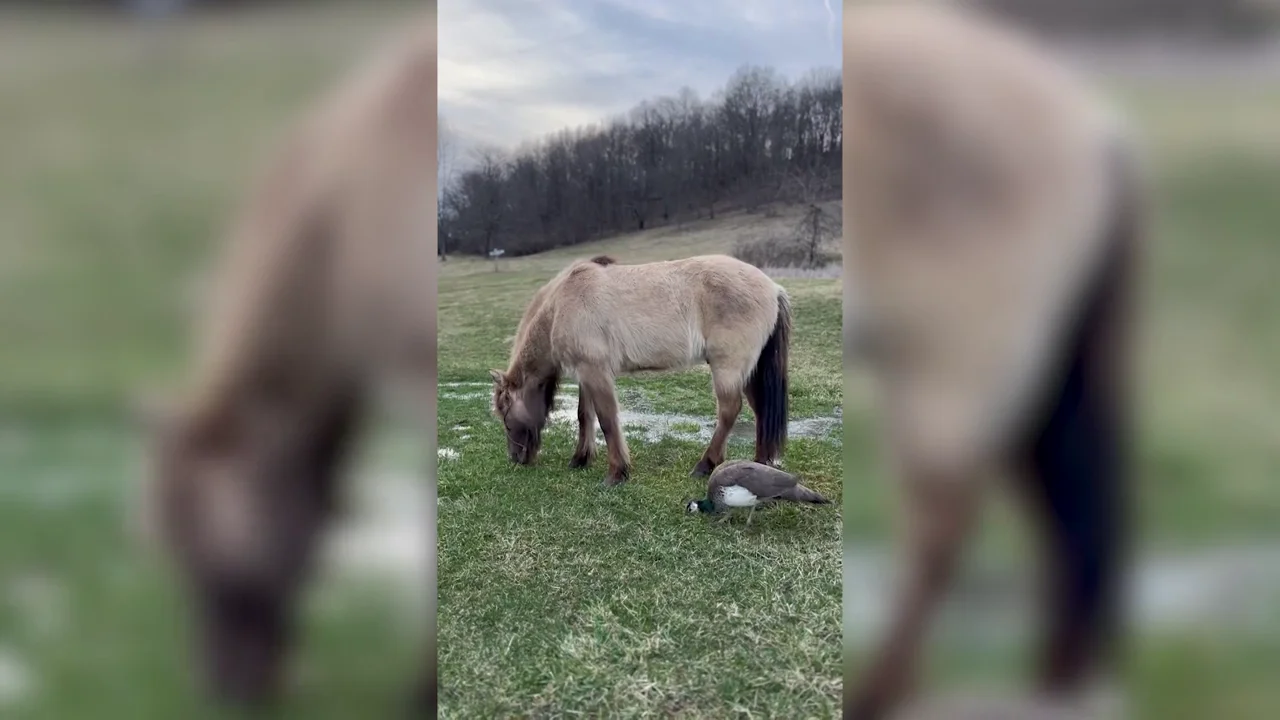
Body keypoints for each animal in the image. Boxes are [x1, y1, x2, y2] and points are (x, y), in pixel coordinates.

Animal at [490, 253, 792, 486]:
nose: (516, 458)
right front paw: (580, 459)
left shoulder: (596, 373)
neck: (562, 303)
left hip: (727, 367)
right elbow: (584, 416)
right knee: (761, 410)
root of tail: (773, 288)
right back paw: (760, 464)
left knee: (729, 411)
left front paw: (616, 473)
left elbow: (607, 420)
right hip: (749, 372)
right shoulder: (586, 374)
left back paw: (705, 464)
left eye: (506, 419)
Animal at [842, 4, 1145, 718]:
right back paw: (1053, 680)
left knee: (944, 521)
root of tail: (1095, 127)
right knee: (1055, 515)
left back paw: (878, 693)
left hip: (954, 365)